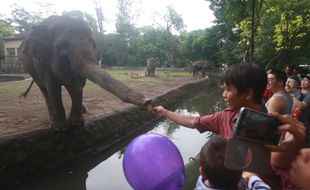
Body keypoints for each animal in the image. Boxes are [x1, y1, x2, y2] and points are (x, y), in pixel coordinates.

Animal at [18, 15, 151, 131]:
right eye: (62, 46)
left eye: (93, 44)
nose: (147, 101)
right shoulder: (41, 61)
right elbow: (53, 86)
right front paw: (60, 128)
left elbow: (76, 85)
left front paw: (76, 124)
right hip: (31, 69)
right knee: (44, 89)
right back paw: (52, 120)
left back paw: (83, 110)